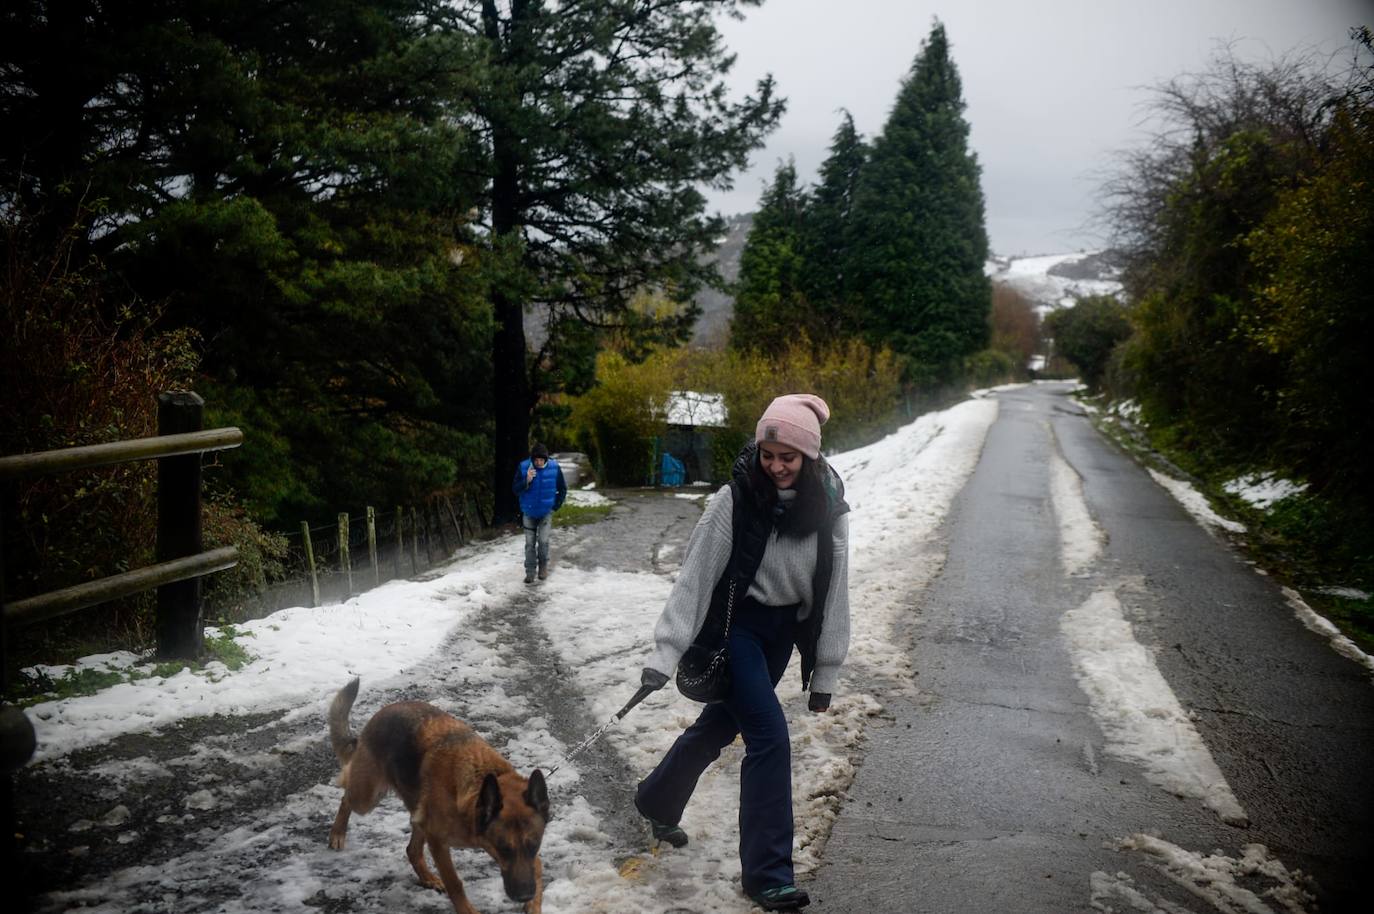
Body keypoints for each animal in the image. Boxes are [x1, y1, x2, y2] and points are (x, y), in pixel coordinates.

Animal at [327, 676, 546, 912]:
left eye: (534, 845)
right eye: (504, 848)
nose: (524, 895)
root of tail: (381, 713)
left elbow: (537, 866)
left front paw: (533, 905)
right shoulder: (438, 842)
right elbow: (455, 883)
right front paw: (467, 910)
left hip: (416, 813)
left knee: (412, 850)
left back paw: (427, 878)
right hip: (368, 796)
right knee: (346, 796)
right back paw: (337, 833)